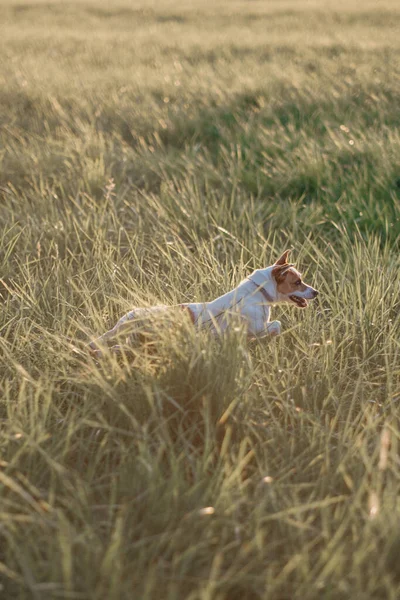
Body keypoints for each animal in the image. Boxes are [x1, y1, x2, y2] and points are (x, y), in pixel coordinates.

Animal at [88, 250, 318, 356]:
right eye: (298, 282)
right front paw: (269, 337)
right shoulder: (257, 327)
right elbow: (276, 325)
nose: (316, 292)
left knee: (116, 347)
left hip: (136, 343)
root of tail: (131, 317)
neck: (257, 292)